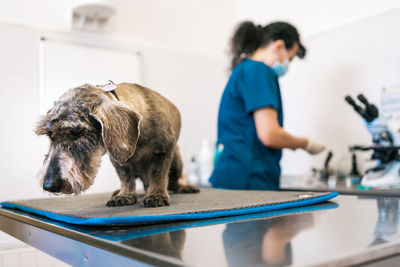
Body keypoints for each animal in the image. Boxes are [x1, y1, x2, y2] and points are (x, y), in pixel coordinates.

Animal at [36, 82, 200, 208]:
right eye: (50, 135)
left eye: (77, 133)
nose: (49, 185)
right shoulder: (118, 161)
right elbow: (125, 177)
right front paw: (125, 195)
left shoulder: (163, 150)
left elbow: (158, 174)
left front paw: (156, 195)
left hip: (177, 163)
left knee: (172, 182)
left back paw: (183, 187)